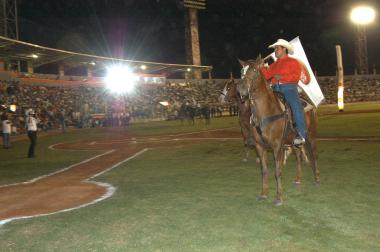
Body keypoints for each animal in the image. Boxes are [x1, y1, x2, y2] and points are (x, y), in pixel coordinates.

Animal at [238, 56, 320, 206]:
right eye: (242, 71)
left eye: (254, 70)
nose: (241, 89)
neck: (265, 112)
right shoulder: (260, 147)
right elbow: (264, 171)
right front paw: (263, 194)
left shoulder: (277, 146)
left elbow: (278, 171)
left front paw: (279, 197)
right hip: (294, 141)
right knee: (299, 157)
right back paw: (298, 179)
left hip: (311, 136)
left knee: (314, 155)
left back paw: (317, 178)